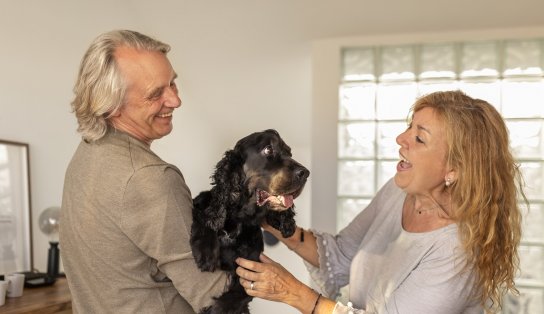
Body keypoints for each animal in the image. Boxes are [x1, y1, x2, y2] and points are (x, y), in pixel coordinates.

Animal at [190, 129, 310, 312]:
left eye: (290, 152)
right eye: (268, 149)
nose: (305, 173)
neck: (237, 224)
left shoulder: (250, 271)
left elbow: (234, 298)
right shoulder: (201, 202)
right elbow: (204, 216)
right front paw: (206, 251)